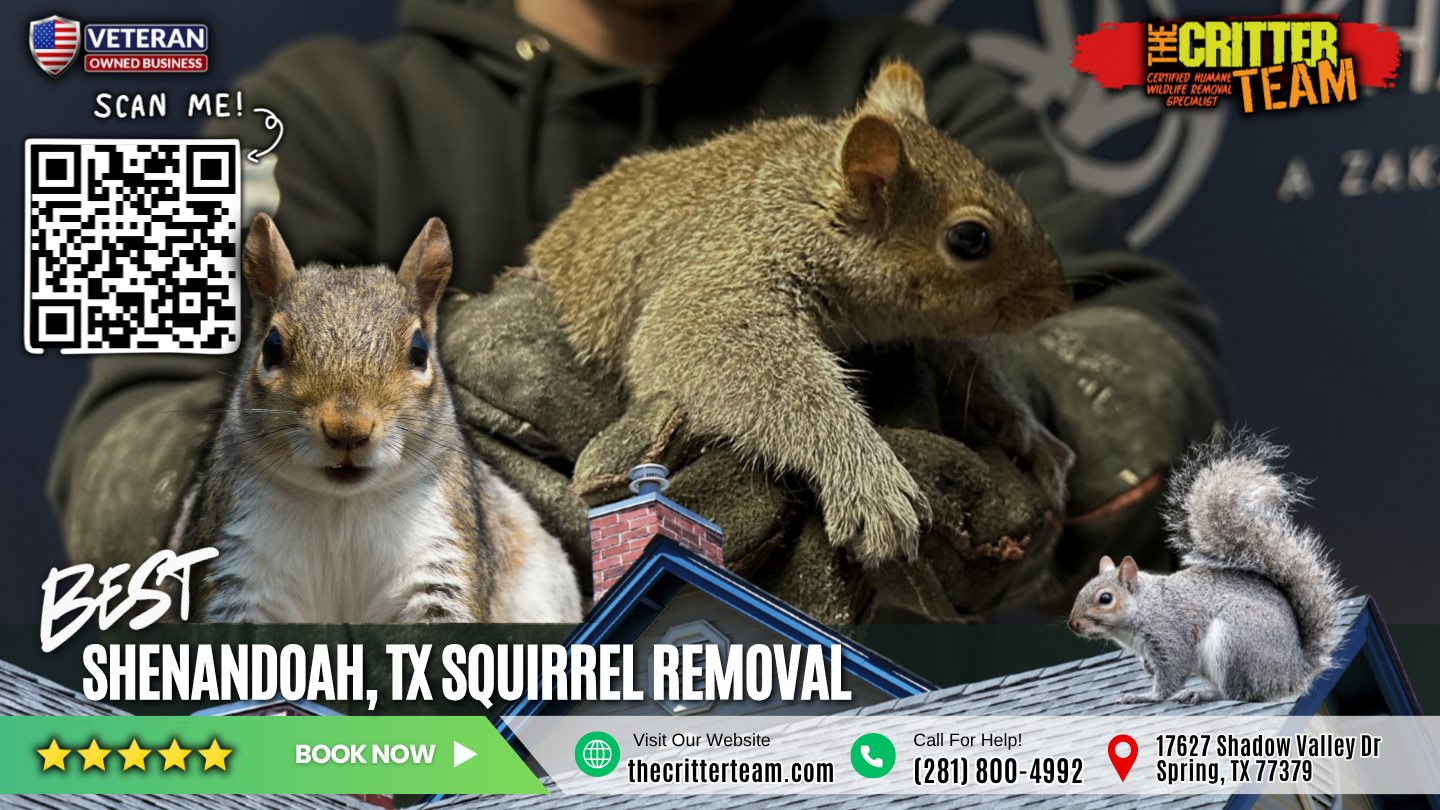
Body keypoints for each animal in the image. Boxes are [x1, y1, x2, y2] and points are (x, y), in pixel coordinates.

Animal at [169, 214, 582, 623]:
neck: (340, 507)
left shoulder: (441, 554)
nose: (347, 429)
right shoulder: (236, 561)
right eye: (271, 348)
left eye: (419, 351)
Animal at [526, 59, 1074, 567]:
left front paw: (1030, 432)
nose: (1058, 300)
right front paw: (869, 481)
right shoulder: (725, 273)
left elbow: (966, 361)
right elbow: (708, 345)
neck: (804, 202)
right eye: (969, 239)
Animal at [1068, 433, 1346, 704]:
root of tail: (1295, 673)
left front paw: (1144, 696)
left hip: (1236, 641)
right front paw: (1146, 669)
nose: (1073, 625)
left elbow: (1173, 673)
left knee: (1239, 693)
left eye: (1105, 598)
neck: (1144, 607)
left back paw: (1203, 693)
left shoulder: (1170, 635)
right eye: (1080, 591)